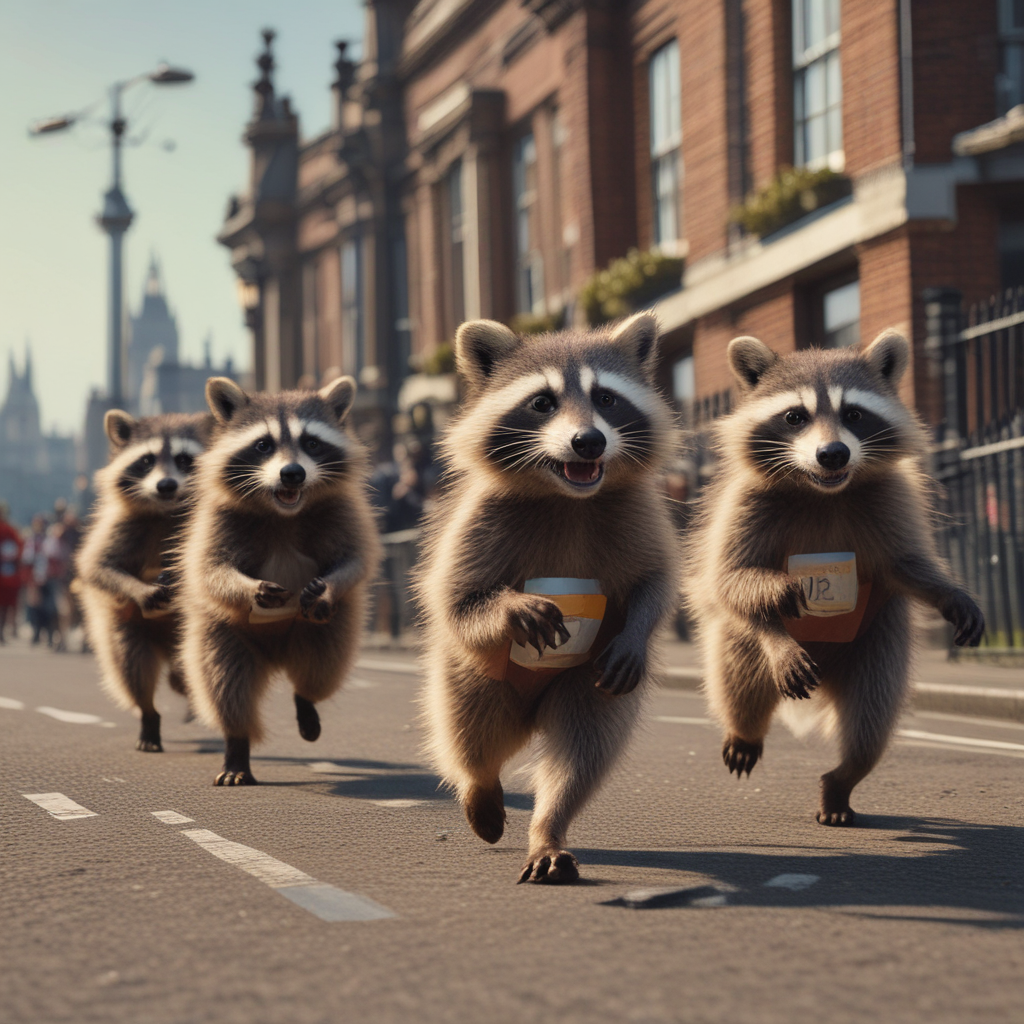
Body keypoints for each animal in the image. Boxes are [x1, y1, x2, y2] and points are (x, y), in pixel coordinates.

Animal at [77, 410, 212, 751]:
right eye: (147, 460)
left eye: (184, 459)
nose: (166, 485)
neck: (166, 510)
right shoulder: (123, 525)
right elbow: (97, 565)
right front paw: (140, 590)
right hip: (124, 629)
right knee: (131, 668)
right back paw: (149, 717)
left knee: (187, 670)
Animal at [177, 376, 381, 786]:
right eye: (263, 445)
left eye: (312, 443)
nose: (292, 473)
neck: (284, 510)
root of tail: (275, 655)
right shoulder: (217, 519)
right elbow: (209, 569)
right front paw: (246, 588)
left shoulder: (342, 510)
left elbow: (355, 559)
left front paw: (331, 585)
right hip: (223, 633)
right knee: (225, 683)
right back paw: (236, 747)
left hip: (323, 630)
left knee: (323, 665)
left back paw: (306, 703)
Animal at [415, 314, 679, 884]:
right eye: (542, 402)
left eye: (606, 398)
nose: (588, 442)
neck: (567, 496)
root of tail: (530, 717)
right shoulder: (479, 520)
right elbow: (457, 601)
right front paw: (509, 607)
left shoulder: (637, 512)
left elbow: (657, 583)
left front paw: (640, 626)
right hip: (472, 679)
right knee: (471, 737)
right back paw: (480, 794)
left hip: (587, 682)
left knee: (582, 752)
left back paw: (549, 831)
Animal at [685, 329, 984, 825]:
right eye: (795, 417)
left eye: (854, 415)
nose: (832, 454)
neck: (821, 489)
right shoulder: (746, 504)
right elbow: (730, 580)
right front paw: (775, 598)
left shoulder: (889, 499)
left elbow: (906, 564)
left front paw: (947, 592)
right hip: (740, 644)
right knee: (738, 679)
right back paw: (746, 728)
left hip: (878, 643)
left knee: (871, 719)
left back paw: (840, 781)